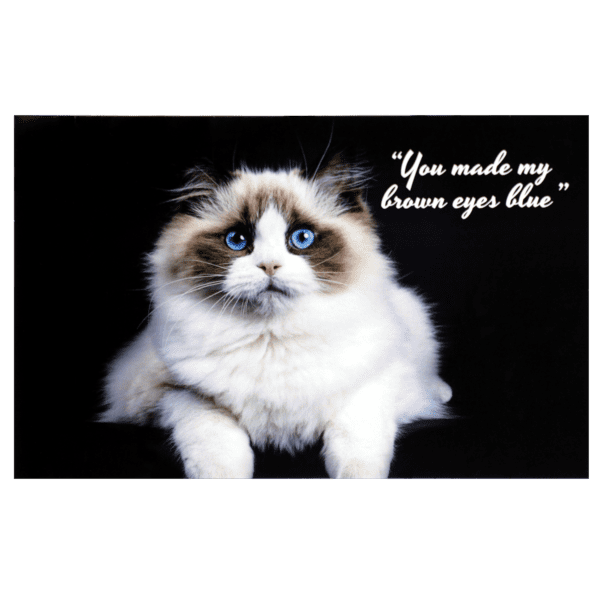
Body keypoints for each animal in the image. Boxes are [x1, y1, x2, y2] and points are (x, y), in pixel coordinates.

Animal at [98, 155, 452, 478]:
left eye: (301, 238)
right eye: (237, 240)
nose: (269, 265)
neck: (271, 339)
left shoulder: (378, 383)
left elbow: (356, 444)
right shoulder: (172, 394)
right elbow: (213, 440)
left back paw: (444, 391)